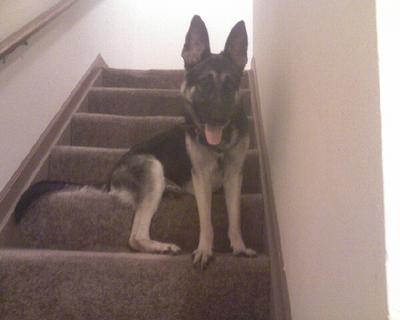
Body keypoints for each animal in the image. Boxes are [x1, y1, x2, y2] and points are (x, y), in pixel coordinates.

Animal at [14, 16, 256, 268]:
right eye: (204, 84)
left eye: (230, 86)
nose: (218, 118)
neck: (220, 147)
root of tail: (111, 177)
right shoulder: (201, 178)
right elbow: (206, 221)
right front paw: (205, 249)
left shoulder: (234, 176)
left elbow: (235, 216)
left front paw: (239, 246)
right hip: (152, 167)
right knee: (135, 237)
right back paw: (161, 246)